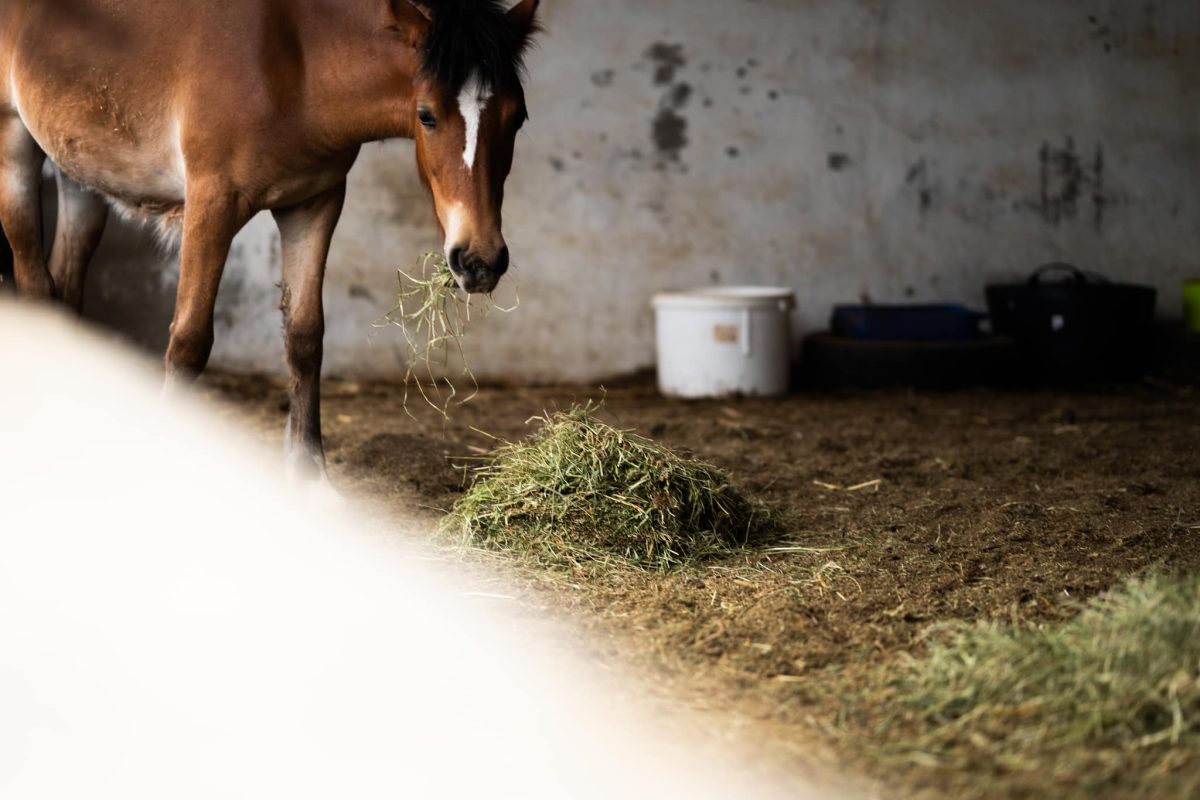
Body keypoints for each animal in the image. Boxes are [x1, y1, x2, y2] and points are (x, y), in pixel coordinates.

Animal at [0, 0, 540, 487]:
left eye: (517, 118)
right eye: (426, 116)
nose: (479, 260)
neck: (293, 59)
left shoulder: (314, 204)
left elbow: (304, 337)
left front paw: (310, 475)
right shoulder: (211, 203)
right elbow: (188, 342)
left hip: (80, 175)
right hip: (15, 149)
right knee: (36, 288)